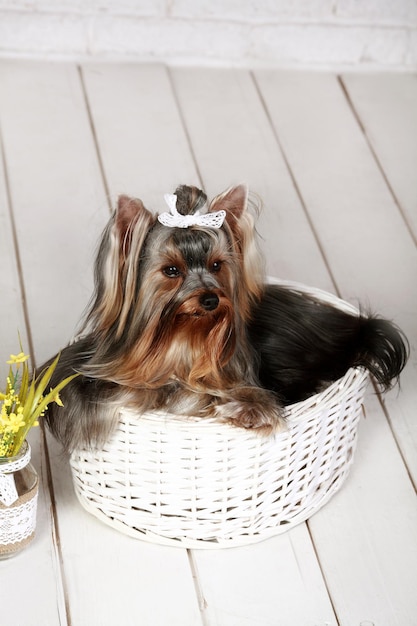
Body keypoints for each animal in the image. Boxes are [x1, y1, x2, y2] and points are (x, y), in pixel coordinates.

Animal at [44, 183, 406, 450]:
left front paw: (244, 410)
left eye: (217, 265)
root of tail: (353, 324)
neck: (180, 342)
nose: (210, 299)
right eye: (171, 271)